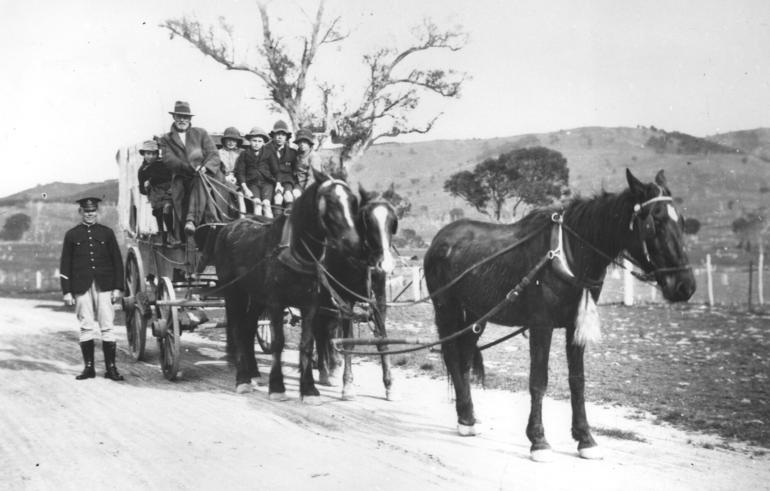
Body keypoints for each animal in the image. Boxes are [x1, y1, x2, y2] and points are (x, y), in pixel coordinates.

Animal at [214, 171, 358, 402]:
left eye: (353, 201)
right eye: (331, 201)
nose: (352, 242)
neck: (296, 251)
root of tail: (228, 227)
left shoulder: (310, 305)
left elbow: (307, 343)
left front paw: (308, 389)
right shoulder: (276, 303)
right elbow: (278, 342)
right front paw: (277, 386)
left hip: (255, 298)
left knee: (247, 329)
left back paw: (254, 374)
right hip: (233, 294)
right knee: (237, 330)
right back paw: (243, 379)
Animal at [312, 190, 396, 402]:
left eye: (392, 220)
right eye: (367, 220)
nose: (385, 264)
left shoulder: (379, 299)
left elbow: (382, 340)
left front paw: (389, 385)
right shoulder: (347, 301)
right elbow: (348, 342)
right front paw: (348, 386)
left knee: (325, 330)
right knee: (318, 331)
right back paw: (324, 371)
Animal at [424, 171, 692, 464]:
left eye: (681, 220)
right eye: (654, 221)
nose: (685, 286)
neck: (567, 253)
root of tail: (440, 239)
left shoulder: (574, 327)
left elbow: (577, 381)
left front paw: (585, 438)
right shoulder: (541, 326)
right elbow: (538, 381)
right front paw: (538, 440)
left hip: (475, 317)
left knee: (463, 360)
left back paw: (468, 417)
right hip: (447, 311)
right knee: (452, 357)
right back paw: (465, 418)